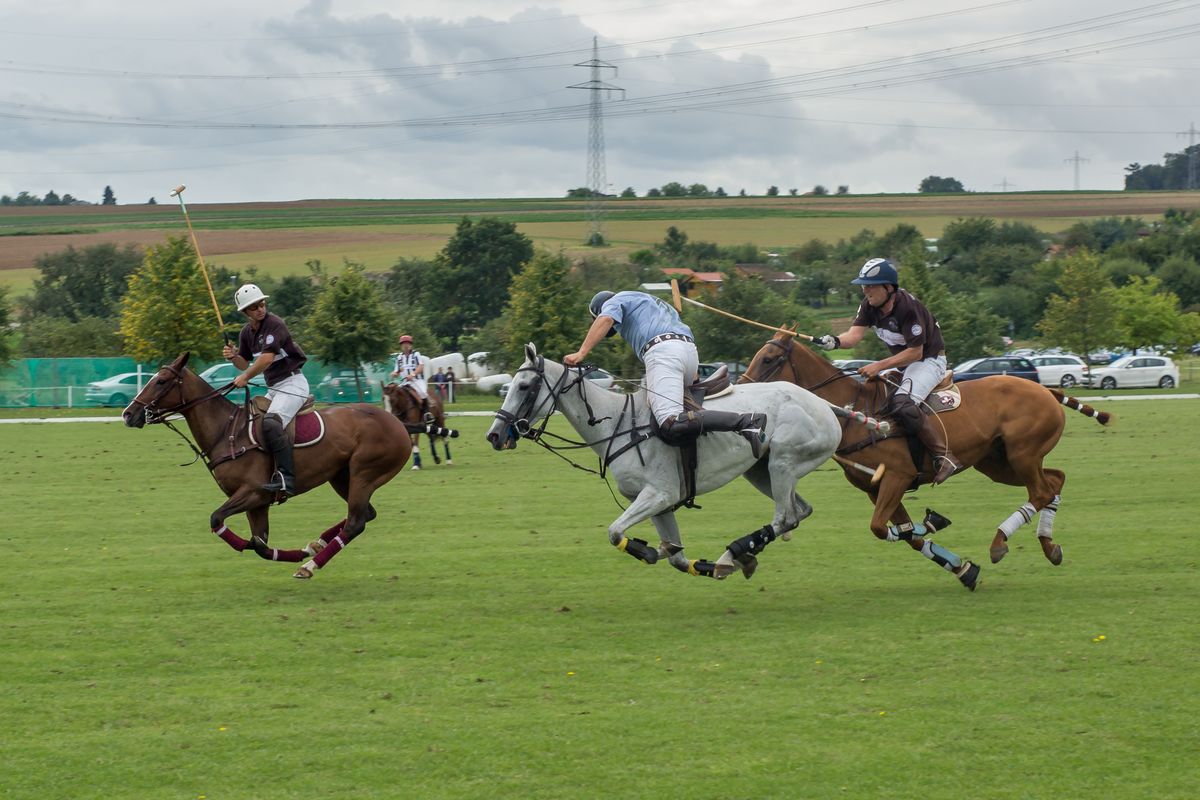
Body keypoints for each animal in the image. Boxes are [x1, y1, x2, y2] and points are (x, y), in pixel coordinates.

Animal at [121, 352, 412, 578]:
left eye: (161, 381)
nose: (128, 414)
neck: (227, 431)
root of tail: (398, 423)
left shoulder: (253, 492)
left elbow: (220, 521)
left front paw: (297, 556)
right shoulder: (257, 504)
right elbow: (259, 542)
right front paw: (298, 551)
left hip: (365, 473)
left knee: (355, 522)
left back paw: (308, 566)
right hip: (341, 476)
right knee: (366, 514)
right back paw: (315, 545)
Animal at [482, 347, 840, 578]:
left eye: (524, 386)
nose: (494, 435)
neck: (618, 425)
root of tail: (828, 407)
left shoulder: (659, 494)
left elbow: (615, 531)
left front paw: (649, 551)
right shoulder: (661, 503)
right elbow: (677, 558)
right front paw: (705, 565)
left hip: (782, 461)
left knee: (785, 516)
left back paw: (735, 550)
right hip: (761, 471)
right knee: (799, 512)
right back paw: (739, 556)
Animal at [739, 328, 1113, 592]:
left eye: (769, 358)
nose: (740, 389)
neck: (852, 414)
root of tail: (1045, 389)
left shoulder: (897, 477)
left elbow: (883, 529)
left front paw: (934, 522)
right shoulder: (876, 489)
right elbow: (906, 534)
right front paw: (963, 569)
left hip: (1022, 453)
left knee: (1041, 491)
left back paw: (999, 543)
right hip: (998, 462)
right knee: (1055, 480)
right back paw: (1050, 547)